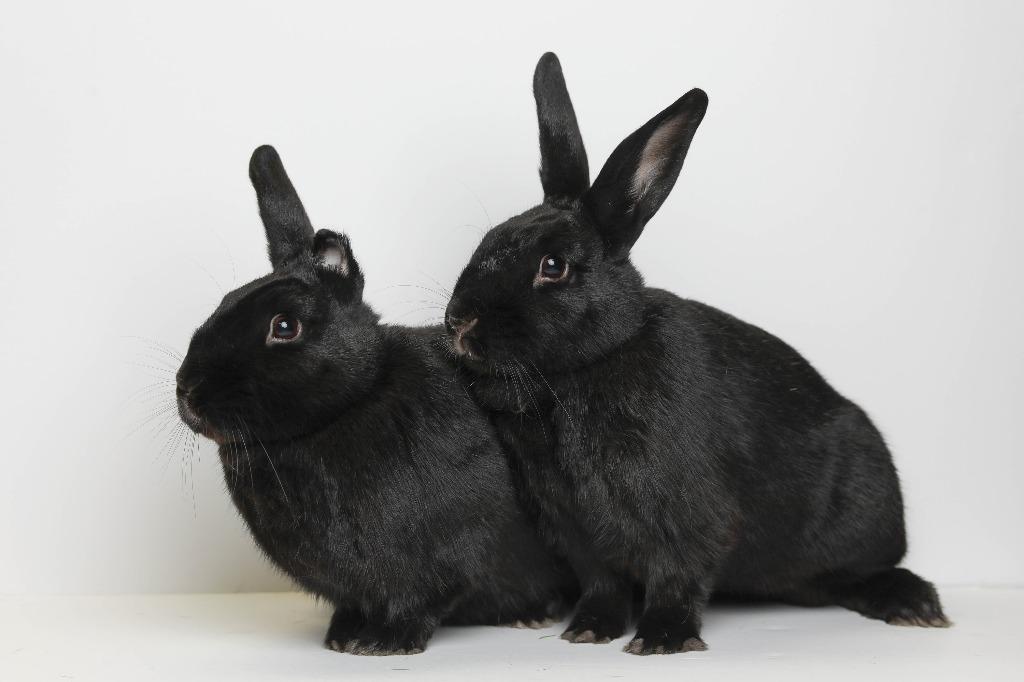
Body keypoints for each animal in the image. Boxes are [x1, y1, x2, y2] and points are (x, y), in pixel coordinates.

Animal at [175, 145, 576, 656]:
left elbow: (422, 602)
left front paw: (385, 644)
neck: (350, 403)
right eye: (226, 300)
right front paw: (342, 638)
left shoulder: (445, 560)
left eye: (284, 326)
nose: (188, 394)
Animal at [442, 53, 949, 655]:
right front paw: (588, 630)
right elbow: (603, 583)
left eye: (554, 266)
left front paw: (661, 639)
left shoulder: (686, 515)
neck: (583, 371)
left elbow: (677, 573)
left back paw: (915, 606)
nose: (459, 322)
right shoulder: (579, 531)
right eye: (489, 239)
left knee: (865, 573)